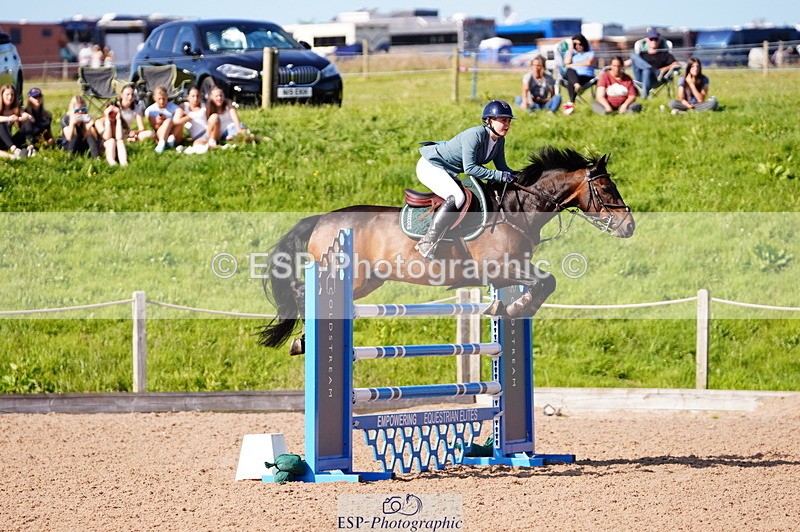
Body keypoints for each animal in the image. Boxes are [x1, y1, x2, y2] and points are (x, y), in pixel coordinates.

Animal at [259, 146, 635, 351]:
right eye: (606, 189)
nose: (629, 226)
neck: (516, 209)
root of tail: (321, 219)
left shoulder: (509, 271)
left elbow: (542, 284)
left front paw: (505, 308)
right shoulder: (501, 267)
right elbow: (546, 282)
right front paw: (518, 308)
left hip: (367, 282)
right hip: (344, 275)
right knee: (303, 292)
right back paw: (301, 339)